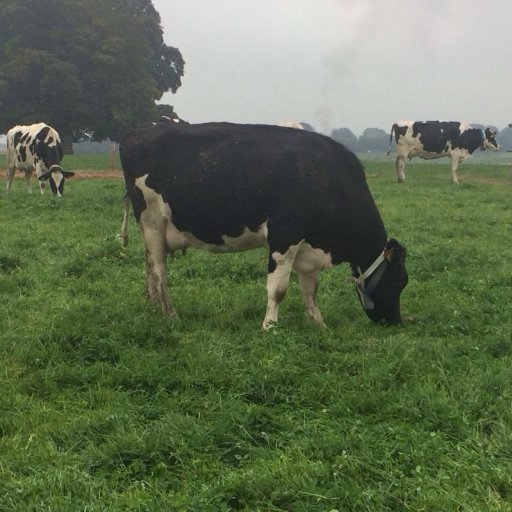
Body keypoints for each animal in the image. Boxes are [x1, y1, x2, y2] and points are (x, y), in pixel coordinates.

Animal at [120, 121, 408, 328]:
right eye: (400, 281)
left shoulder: (310, 244)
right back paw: (170, 314)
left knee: (149, 264)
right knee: (160, 269)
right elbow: (278, 289)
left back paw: (153, 303)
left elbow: (311, 289)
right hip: (151, 219)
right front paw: (270, 326)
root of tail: (137, 132)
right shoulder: (285, 236)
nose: (395, 322)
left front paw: (319, 324)